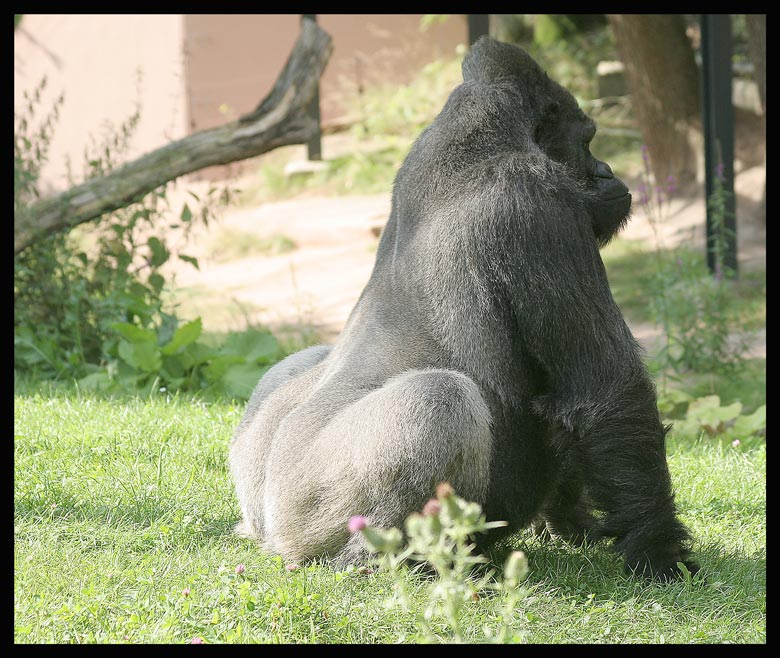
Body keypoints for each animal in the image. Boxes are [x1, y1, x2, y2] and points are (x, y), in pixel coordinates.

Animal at [229, 36, 696, 580]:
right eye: (587, 142)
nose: (608, 172)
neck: (476, 137)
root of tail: (266, 526)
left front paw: (571, 520)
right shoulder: (536, 205)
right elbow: (607, 386)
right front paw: (658, 549)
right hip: (304, 505)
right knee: (439, 399)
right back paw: (390, 560)